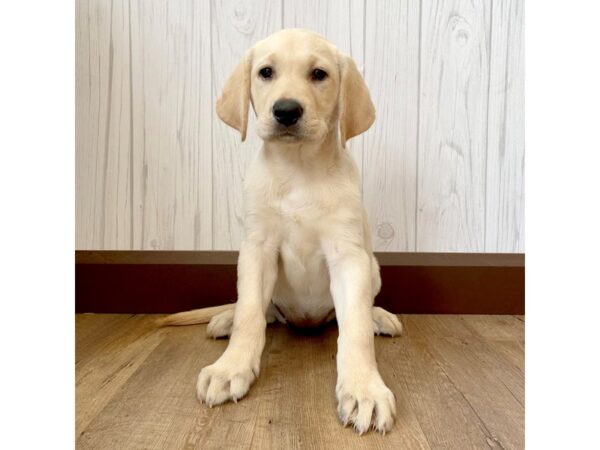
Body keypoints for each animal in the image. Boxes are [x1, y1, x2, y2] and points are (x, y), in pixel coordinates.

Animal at [162, 29, 404, 436]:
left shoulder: (349, 256)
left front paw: (363, 389)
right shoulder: (257, 249)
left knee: (355, 311)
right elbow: (249, 316)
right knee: (259, 311)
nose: (286, 111)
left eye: (319, 74)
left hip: (372, 267)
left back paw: (379, 316)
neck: (298, 169)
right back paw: (225, 319)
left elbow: (354, 328)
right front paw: (231, 367)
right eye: (266, 72)